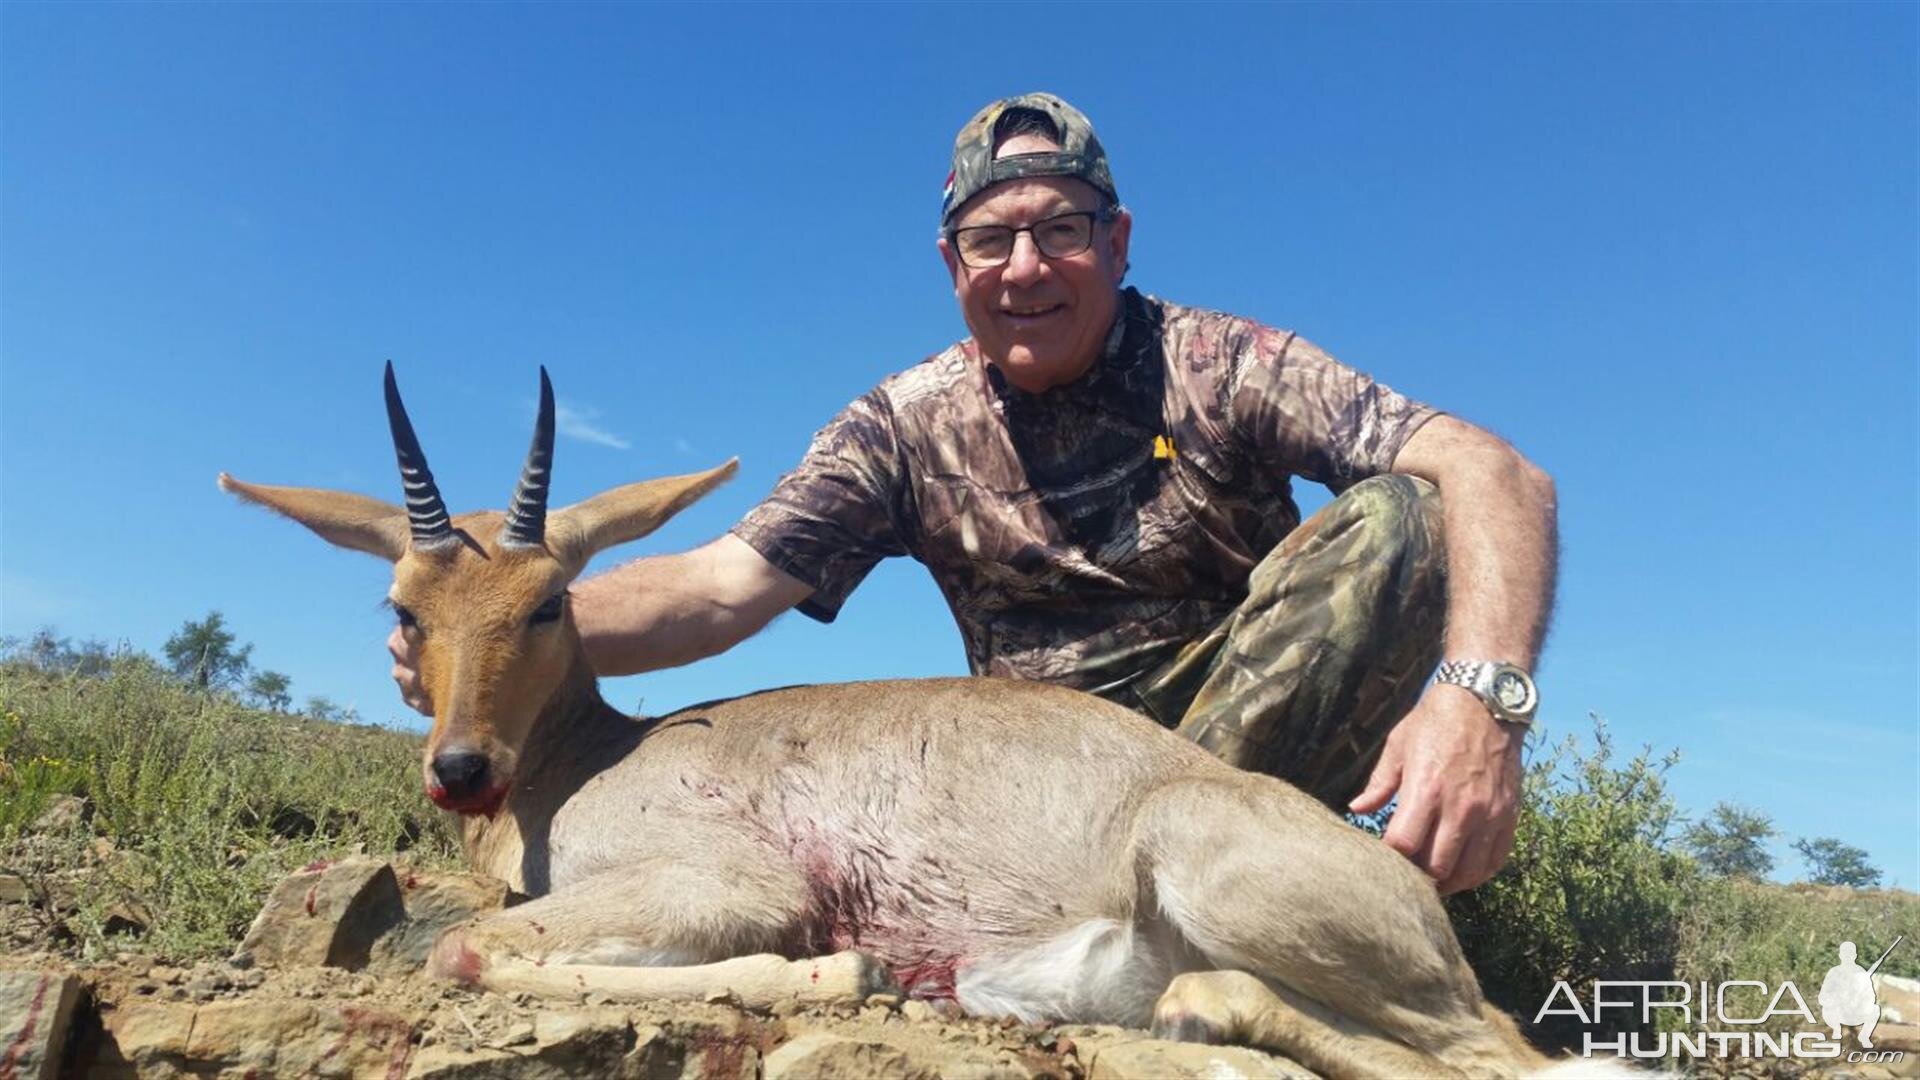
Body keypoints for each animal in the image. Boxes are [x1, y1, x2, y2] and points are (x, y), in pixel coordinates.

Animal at [224, 365, 1628, 1068]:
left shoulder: (725, 885)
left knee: (1505, 1060)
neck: (589, 758)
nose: (460, 769)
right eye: (403, 610)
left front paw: (846, 971)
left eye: (551, 602)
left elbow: (463, 951)